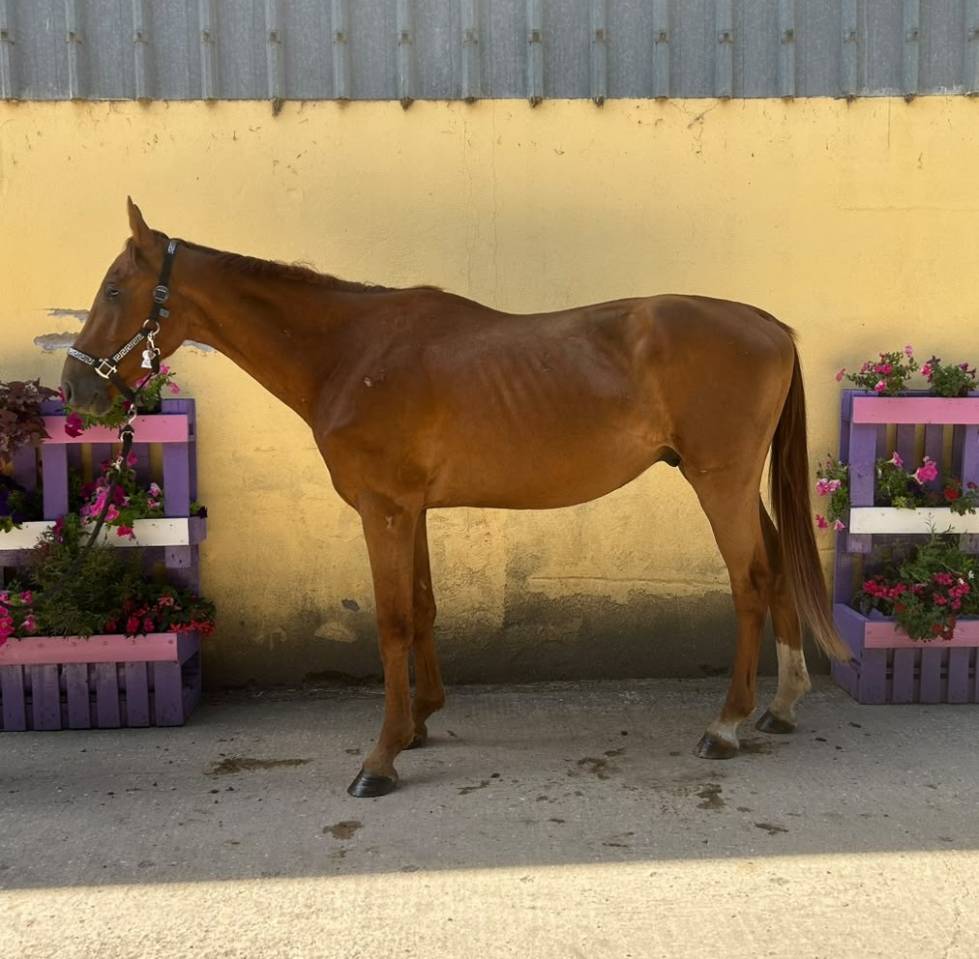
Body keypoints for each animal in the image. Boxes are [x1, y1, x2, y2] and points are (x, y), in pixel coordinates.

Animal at [61, 199, 848, 798]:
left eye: (112, 291)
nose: (76, 392)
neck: (350, 353)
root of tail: (768, 324)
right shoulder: (409, 509)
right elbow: (423, 607)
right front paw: (419, 722)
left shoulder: (382, 508)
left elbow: (390, 622)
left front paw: (380, 759)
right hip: (732, 483)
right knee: (778, 569)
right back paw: (781, 705)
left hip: (719, 483)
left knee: (750, 582)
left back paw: (726, 723)